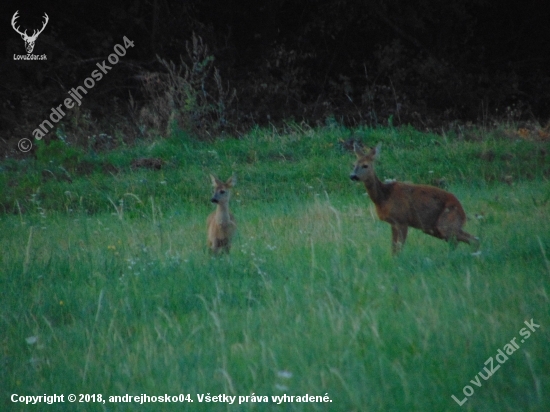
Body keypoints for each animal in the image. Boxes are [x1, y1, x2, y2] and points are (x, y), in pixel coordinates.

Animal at [352, 144, 480, 254]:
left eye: (365, 165)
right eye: (353, 164)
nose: (352, 176)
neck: (384, 197)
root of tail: (462, 212)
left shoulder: (402, 220)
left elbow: (399, 248)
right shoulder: (393, 223)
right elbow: (393, 248)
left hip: (446, 222)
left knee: (469, 239)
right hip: (435, 228)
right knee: (463, 241)